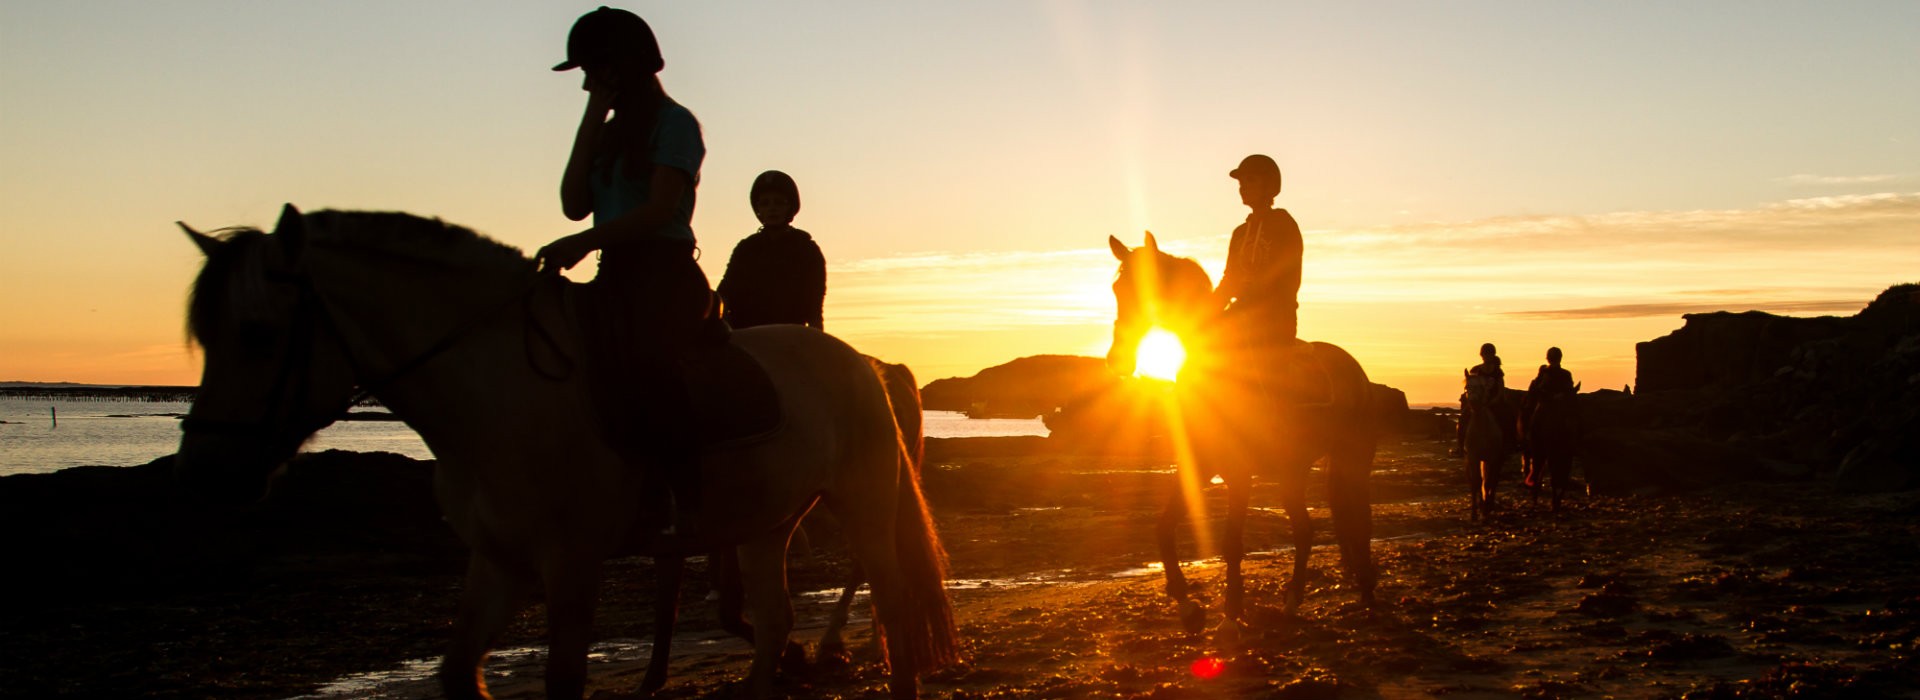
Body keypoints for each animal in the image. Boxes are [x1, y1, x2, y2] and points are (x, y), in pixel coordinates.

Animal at [176, 204, 956, 694]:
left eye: (256, 333)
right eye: (205, 336)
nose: (205, 473)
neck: (498, 389)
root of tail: (862, 362)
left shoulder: (572, 560)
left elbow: (564, 677)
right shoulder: (497, 557)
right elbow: (459, 672)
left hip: (861, 502)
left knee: (889, 605)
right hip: (767, 522)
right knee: (774, 621)